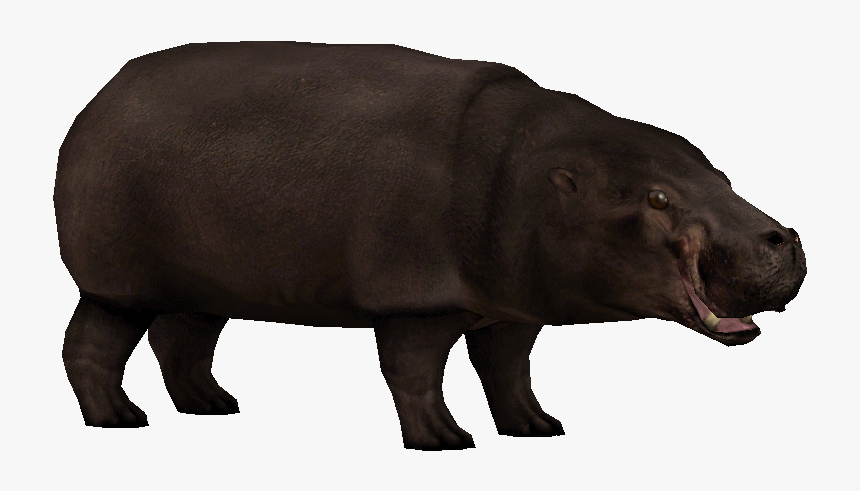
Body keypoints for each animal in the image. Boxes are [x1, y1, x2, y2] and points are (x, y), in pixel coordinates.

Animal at [54, 42, 806, 450]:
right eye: (656, 198)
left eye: (719, 174)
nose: (784, 237)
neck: (539, 176)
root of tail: (100, 97)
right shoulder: (416, 299)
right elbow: (415, 373)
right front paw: (447, 441)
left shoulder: (512, 308)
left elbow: (509, 371)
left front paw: (539, 427)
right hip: (118, 280)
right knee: (91, 345)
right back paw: (120, 421)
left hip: (202, 281)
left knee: (183, 340)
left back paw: (213, 405)